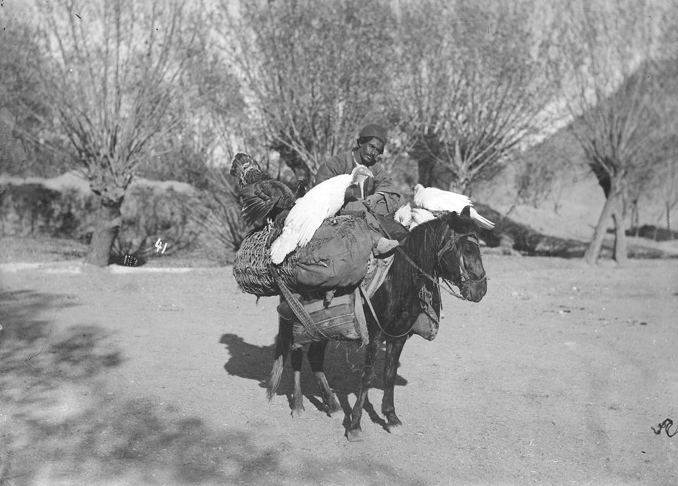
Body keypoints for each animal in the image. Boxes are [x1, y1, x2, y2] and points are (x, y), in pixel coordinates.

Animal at [266, 207, 488, 442]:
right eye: (468, 249)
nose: (481, 290)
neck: (397, 281)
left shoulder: (398, 336)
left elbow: (389, 375)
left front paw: (391, 418)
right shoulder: (374, 336)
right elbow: (367, 377)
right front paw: (354, 426)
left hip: (324, 326)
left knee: (315, 357)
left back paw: (332, 404)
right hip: (298, 321)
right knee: (296, 355)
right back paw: (298, 406)